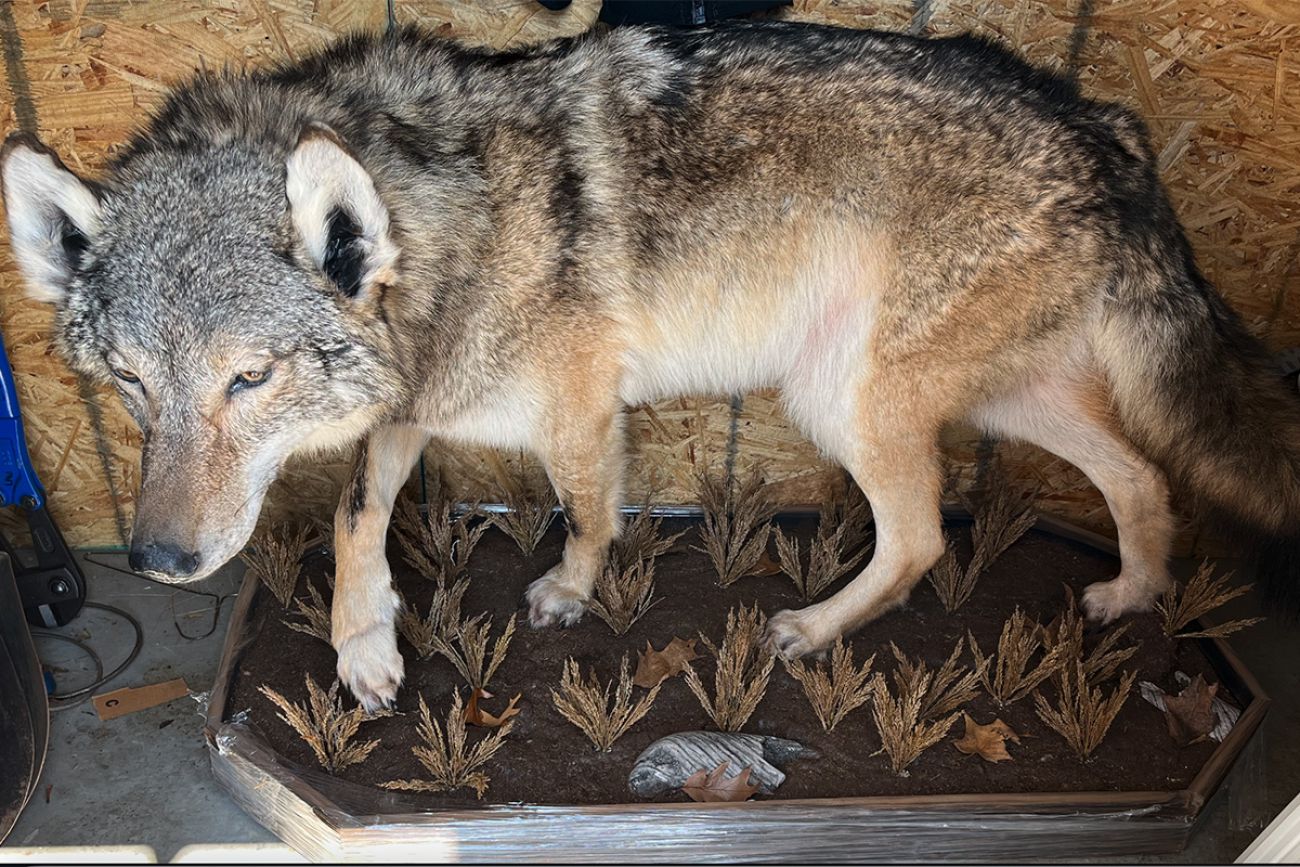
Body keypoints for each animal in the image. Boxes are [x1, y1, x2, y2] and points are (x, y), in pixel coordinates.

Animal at [5, 23, 1294, 707]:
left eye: (249, 380)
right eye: (132, 385)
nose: (161, 562)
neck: (451, 223)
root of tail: (1110, 130)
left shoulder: (575, 409)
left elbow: (586, 514)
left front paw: (571, 596)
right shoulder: (418, 393)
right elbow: (355, 514)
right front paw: (364, 646)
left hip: (844, 401)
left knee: (927, 538)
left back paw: (812, 632)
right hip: (989, 397)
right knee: (1140, 479)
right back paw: (1131, 596)